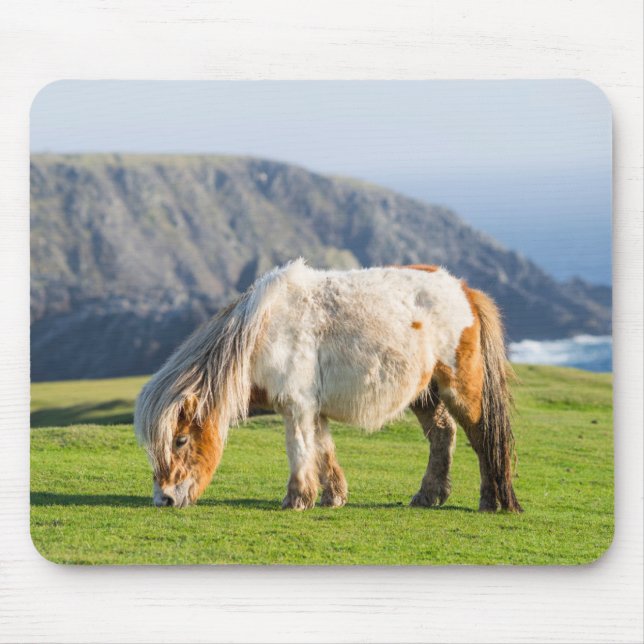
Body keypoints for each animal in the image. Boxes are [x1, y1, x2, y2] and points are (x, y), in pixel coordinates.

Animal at [134, 260, 522, 513]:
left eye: (181, 440)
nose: (164, 499)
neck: (262, 331)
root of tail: (465, 291)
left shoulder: (297, 406)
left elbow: (300, 449)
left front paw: (296, 499)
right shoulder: (312, 408)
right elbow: (323, 450)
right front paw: (332, 496)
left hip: (461, 389)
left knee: (483, 437)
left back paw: (490, 501)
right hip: (424, 394)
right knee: (443, 434)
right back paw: (429, 495)